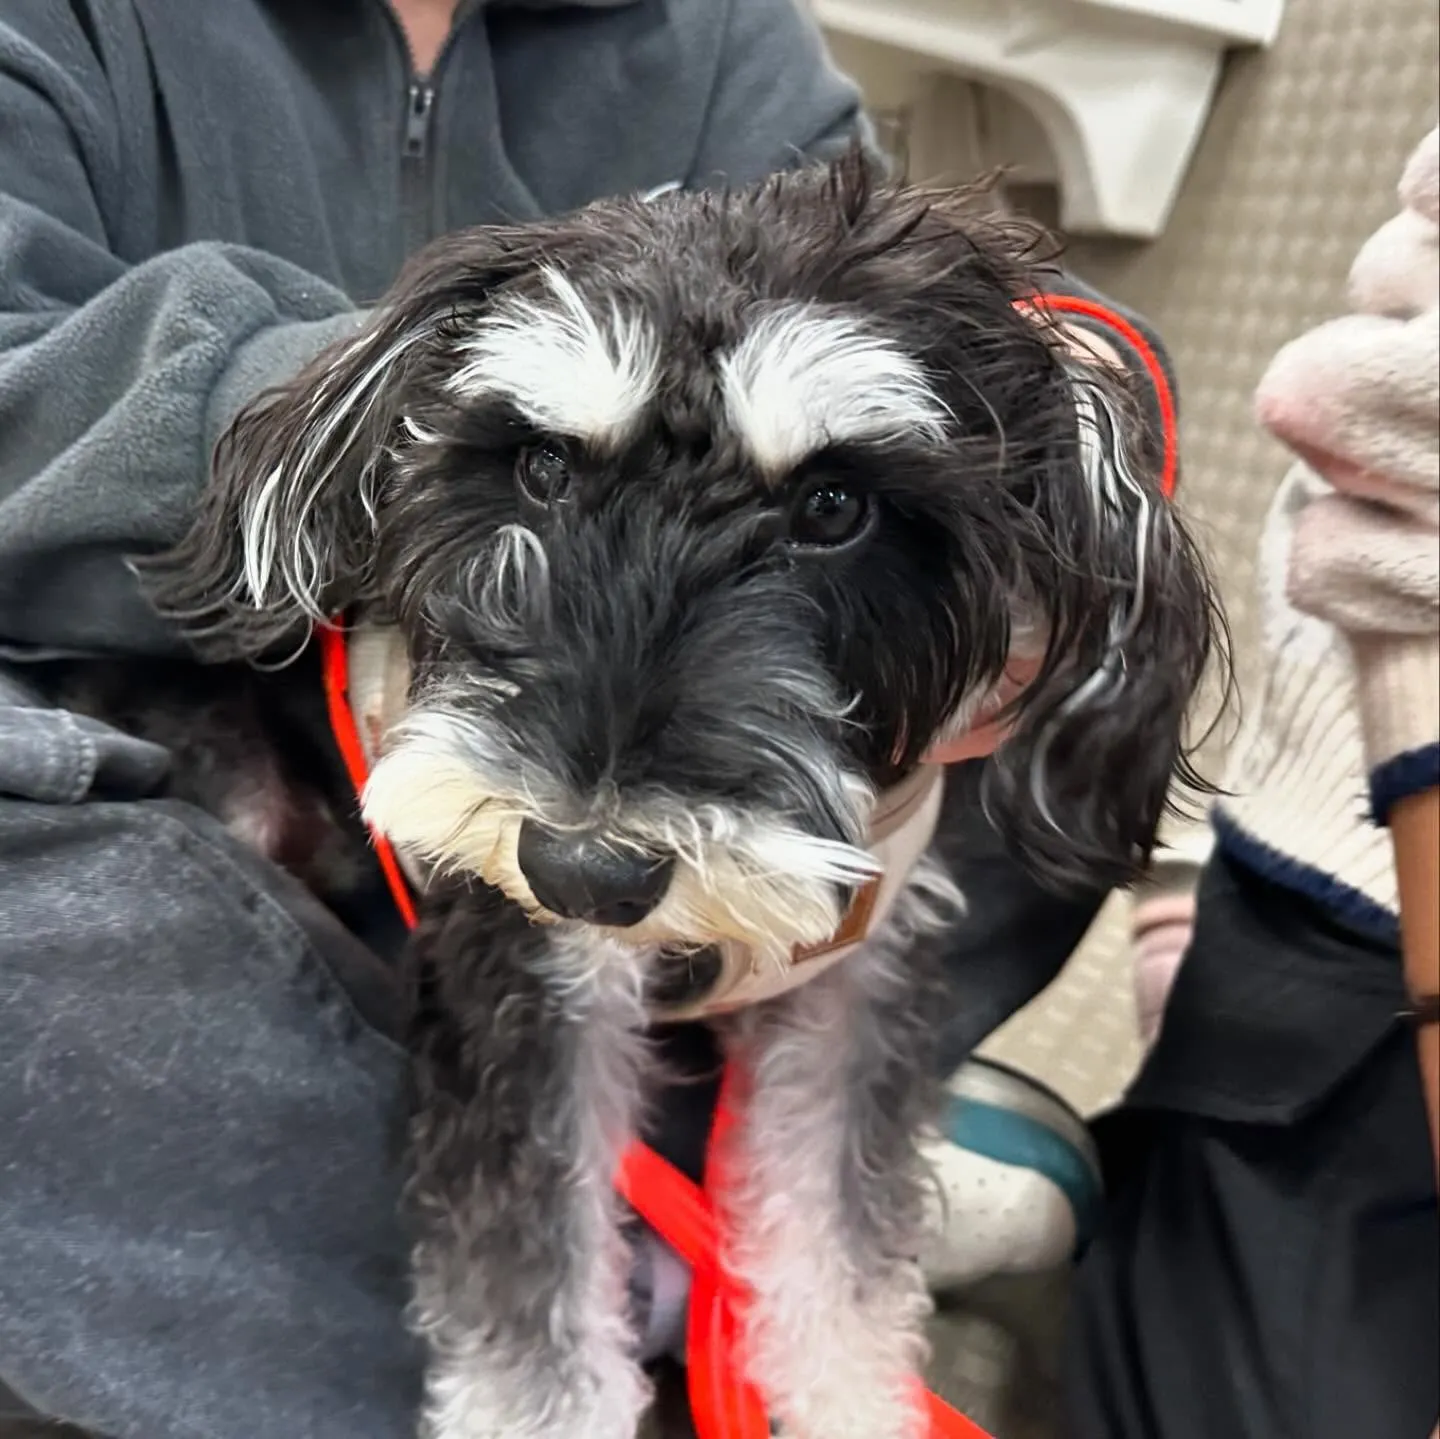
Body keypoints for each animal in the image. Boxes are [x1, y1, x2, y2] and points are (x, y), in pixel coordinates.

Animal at [56, 151, 1221, 1434]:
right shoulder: (532, 987)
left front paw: (851, 1395)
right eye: (543, 467)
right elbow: (533, 1302)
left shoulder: (855, 979)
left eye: (835, 507)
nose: (584, 870)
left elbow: (836, 1241)